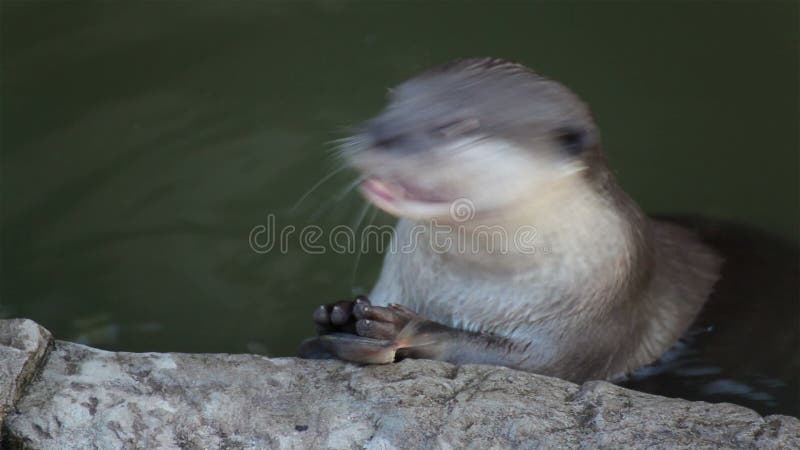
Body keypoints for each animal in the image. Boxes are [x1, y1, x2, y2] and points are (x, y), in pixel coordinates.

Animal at [299, 57, 722, 383]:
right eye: (392, 101)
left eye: (454, 126)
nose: (378, 133)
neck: (470, 291)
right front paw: (340, 313)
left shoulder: (599, 325)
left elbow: (530, 365)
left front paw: (404, 326)